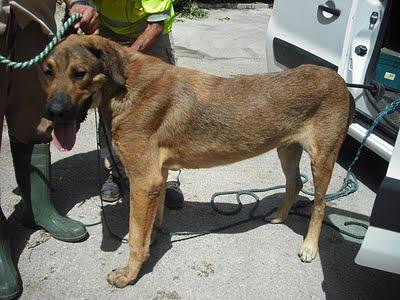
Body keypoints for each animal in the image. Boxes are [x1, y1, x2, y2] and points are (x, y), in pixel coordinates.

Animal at [40, 34, 354, 288]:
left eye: (79, 73)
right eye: (47, 72)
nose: (52, 112)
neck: (124, 85)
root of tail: (341, 82)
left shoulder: (144, 180)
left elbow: (134, 238)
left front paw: (129, 275)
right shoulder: (158, 177)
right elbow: (153, 220)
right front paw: (153, 239)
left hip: (322, 159)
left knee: (319, 204)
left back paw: (309, 247)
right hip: (286, 149)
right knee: (295, 183)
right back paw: (279, 215)